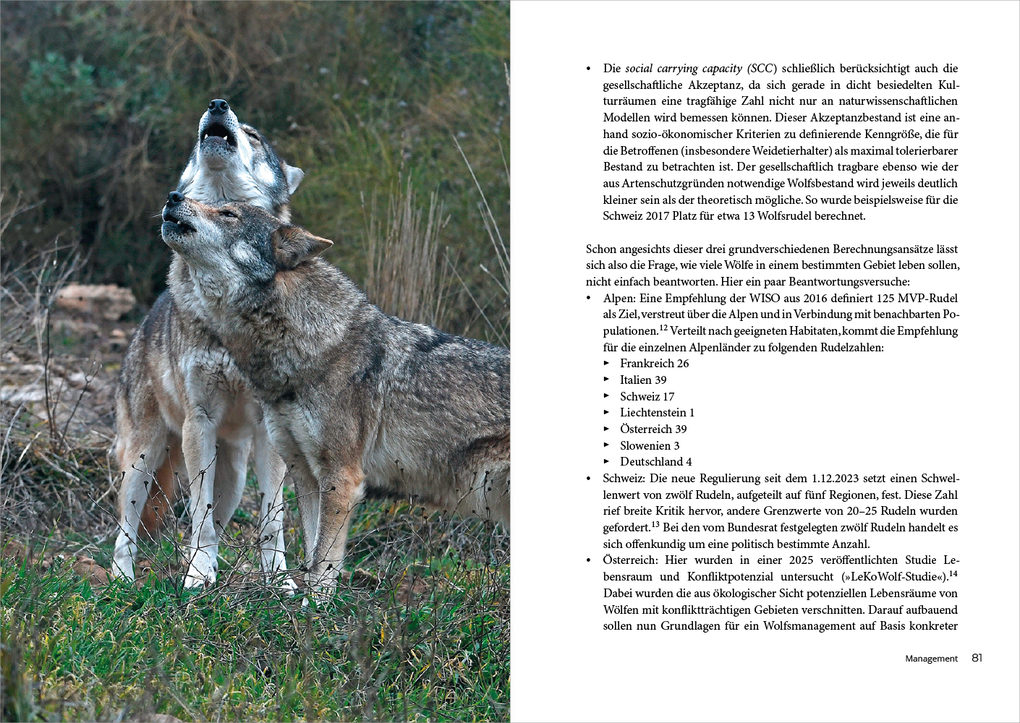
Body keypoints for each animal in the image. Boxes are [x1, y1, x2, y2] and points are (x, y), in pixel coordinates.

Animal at [111, 100, 304, 589]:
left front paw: (279, 582)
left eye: (254, 136)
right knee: (126, 526)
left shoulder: (269, 430)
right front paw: (198, 577)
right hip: (144, 456)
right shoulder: (198, 421)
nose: (218, 104)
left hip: (232, 474)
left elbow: (272, 519)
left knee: (216, 516)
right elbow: (197, 515)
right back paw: (123, 579)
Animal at [159, 193, 509, 600]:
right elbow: (313, 550)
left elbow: (324, 560)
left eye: (228, 214)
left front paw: (316, 609)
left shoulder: (342, 477)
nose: (173, 197)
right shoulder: (306, 474)